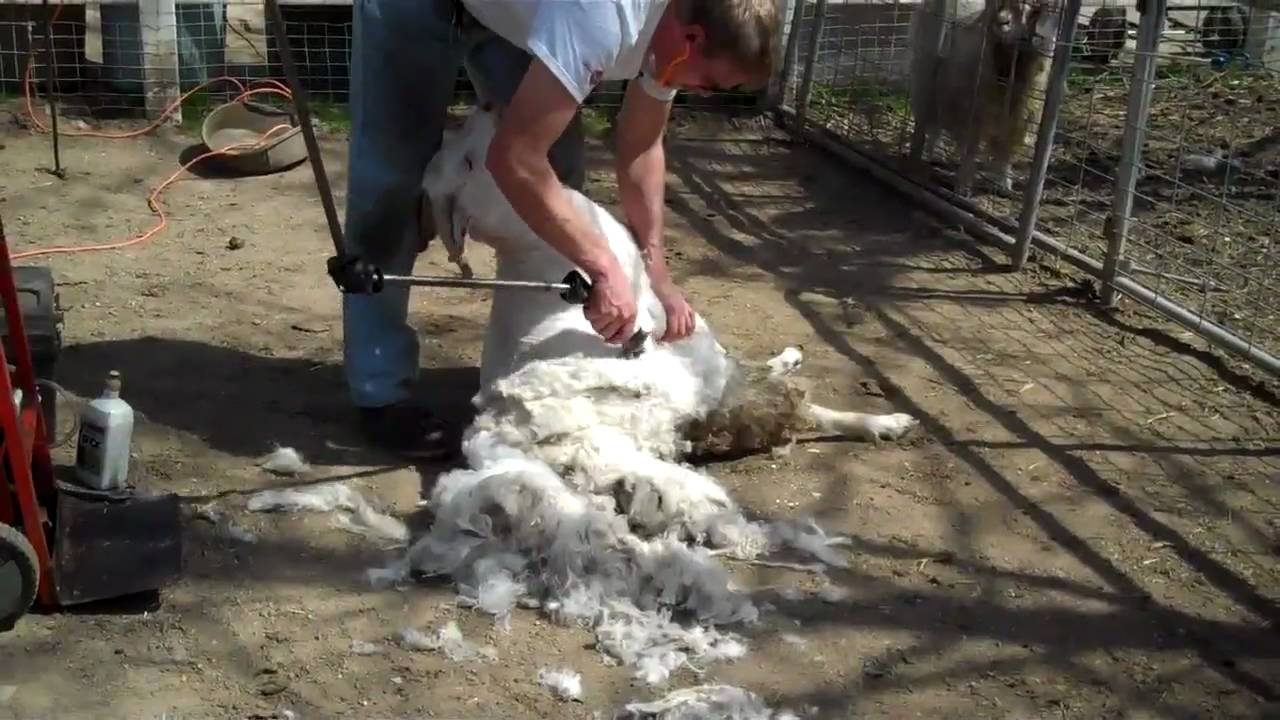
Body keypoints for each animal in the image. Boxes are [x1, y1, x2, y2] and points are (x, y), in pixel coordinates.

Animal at [906, 0, 1057, 196]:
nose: (1001, 22)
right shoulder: (972, 112)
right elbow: (970, 151)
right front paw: (963, 187)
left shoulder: (1019, 118)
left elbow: (1005, 153)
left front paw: (1003, 183)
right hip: (928, 79)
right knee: (933, 122)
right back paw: (933, 153)